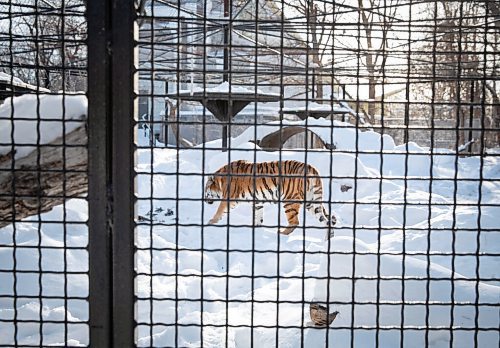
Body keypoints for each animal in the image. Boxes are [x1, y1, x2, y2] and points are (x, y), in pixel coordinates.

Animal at [203, 160, 336, 239]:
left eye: (205, 190)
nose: (204, 199)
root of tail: (311, 168)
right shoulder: (257, 201)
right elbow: (258, 216)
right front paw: (255, 228)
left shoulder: (229, 198)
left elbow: (220, 210)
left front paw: (210, 222)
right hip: (311, 202)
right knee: (326, 220)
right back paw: (329, 239)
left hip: (289, 200)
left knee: (295, 222)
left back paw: (281, 234)